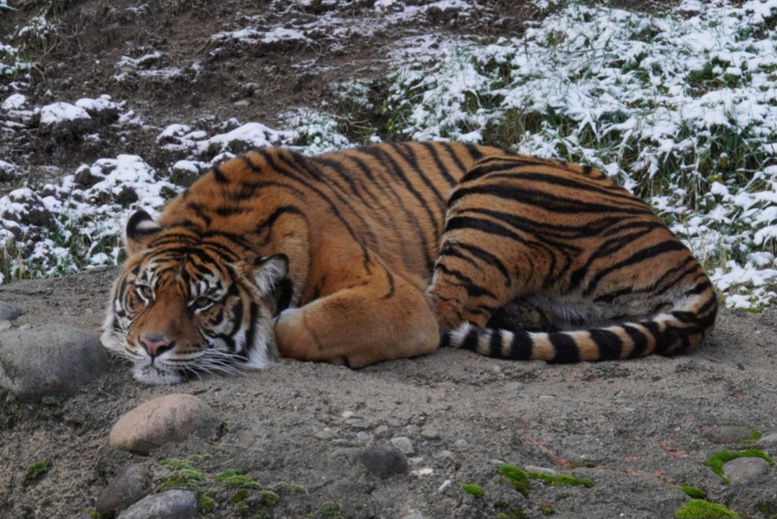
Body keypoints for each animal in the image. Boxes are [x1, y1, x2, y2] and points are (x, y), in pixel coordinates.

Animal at [101, 142, 717, 385]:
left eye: (204, 303)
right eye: (144, 294)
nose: (152, 346)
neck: (220, 217)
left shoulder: (391, 293)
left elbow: (302, 324)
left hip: (494, 183)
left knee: (450, 312)